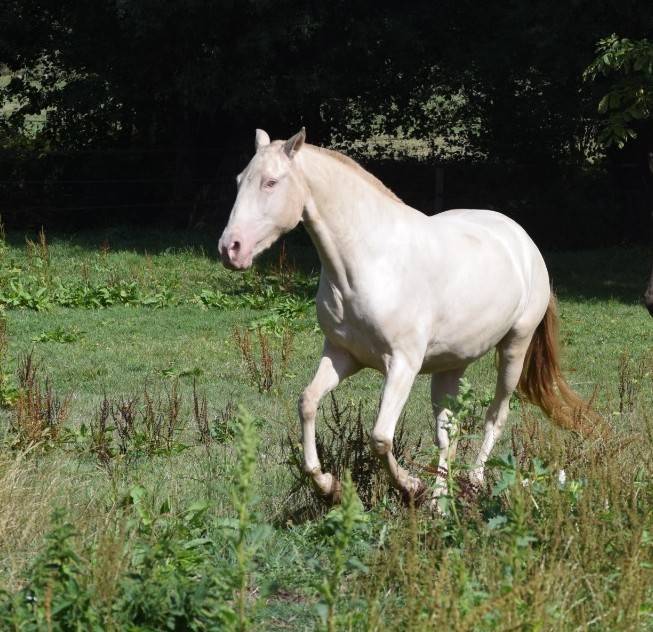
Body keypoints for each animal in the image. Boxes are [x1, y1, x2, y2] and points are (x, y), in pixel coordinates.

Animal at [219, 128, 595, 508]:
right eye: (238, 180)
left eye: (271, 182)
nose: (230, 249)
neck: (370, 260)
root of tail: (523, 240)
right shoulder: (342, 355)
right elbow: (308, 403)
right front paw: (328, 486)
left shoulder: (402, 364)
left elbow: (380, 437)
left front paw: (411, 486)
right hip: (451, 365)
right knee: (448, 432)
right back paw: (440, 503)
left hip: (514, 349)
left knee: (495, 416)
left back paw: (472, 483)